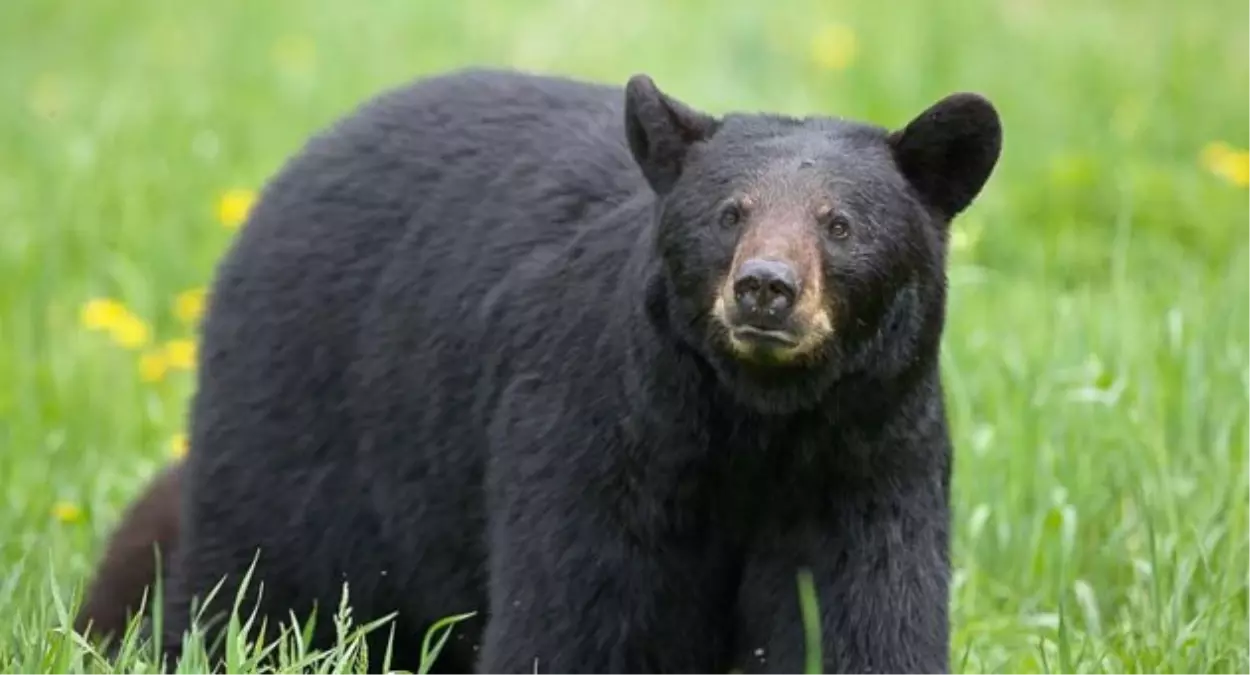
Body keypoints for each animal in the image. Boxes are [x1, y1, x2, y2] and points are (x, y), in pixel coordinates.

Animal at [151, 64, 1000, 675]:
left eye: (840, 223)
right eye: (730, 212)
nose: (765, 286)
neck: (755, 424)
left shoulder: (870, 457)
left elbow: (863, 617)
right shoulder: (599, 437)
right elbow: (578, 615)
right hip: (296, 425)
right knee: (252, 582)